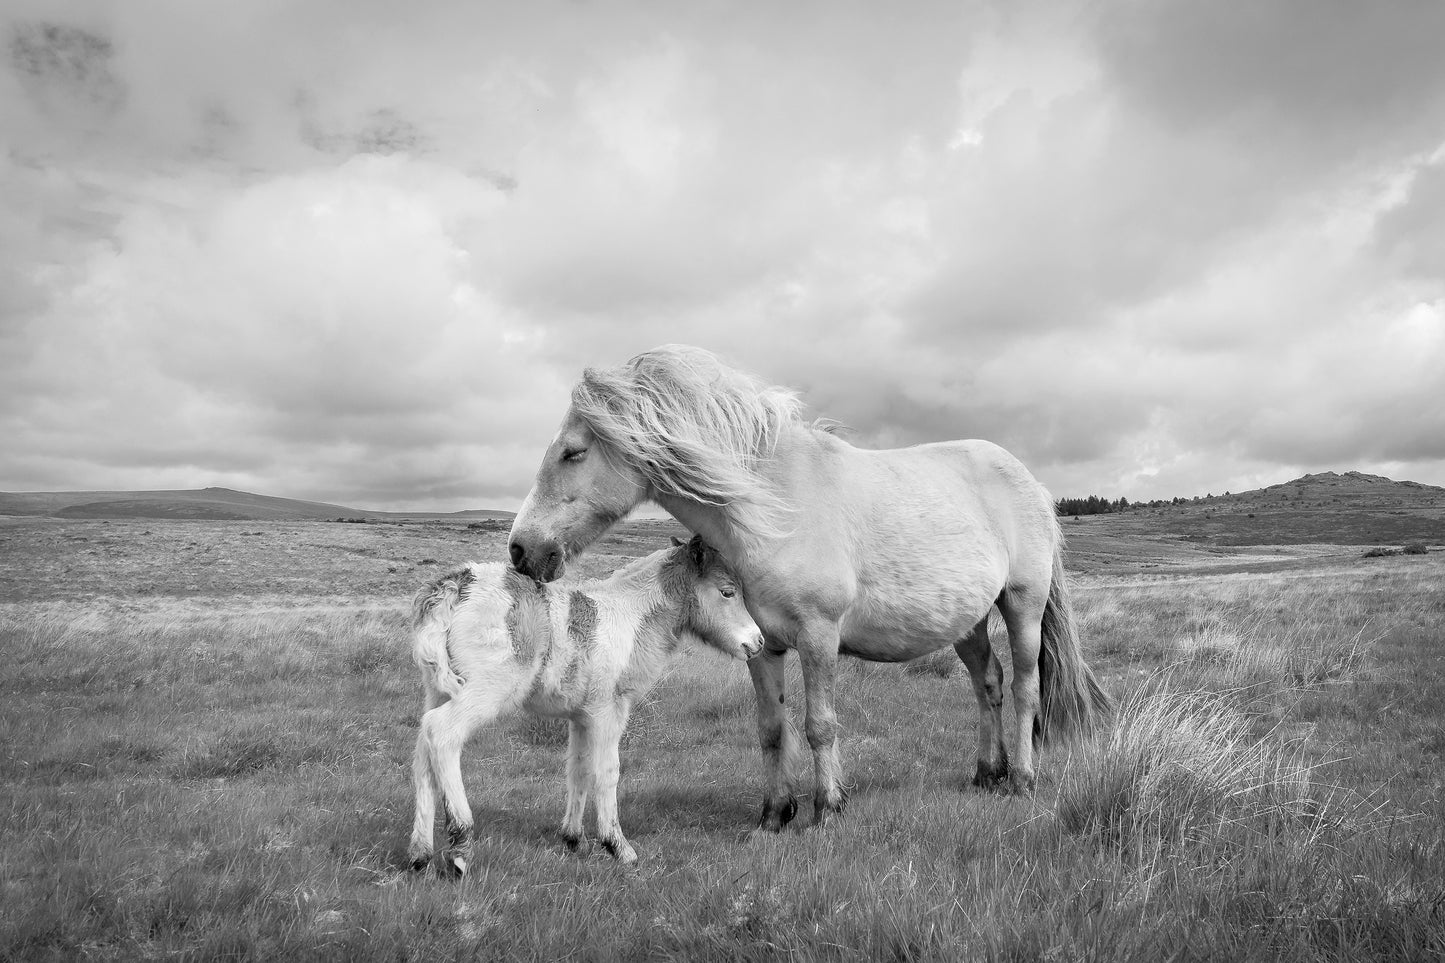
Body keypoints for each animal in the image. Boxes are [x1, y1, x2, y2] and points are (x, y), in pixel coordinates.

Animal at [408, 534, 763, 873]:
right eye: (727, 592)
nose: (757, 643)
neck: (630, 618)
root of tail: (457, 585)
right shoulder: (609, 711)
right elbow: (607, 771)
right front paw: (617, 846)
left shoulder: (580, 716)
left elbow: (578, 769)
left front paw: (573, 839)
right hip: (488, 689)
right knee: (441, 732)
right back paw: (460, 846)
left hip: (437, 689)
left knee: (424, 751)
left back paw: (420, 855)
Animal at [508, 344, 1114, 831]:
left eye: (574, 451)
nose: (520, 550)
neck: (775, 507)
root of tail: (1031, 482)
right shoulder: (762, 646)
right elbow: (773, 730)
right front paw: (775, 813)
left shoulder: (819, 637)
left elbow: (819, 725)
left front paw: (827, 809)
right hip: (967, 621)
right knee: (987, 683)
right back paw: (988, 773)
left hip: (1022, 605)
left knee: (1025, 688)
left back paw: (1022, 780)